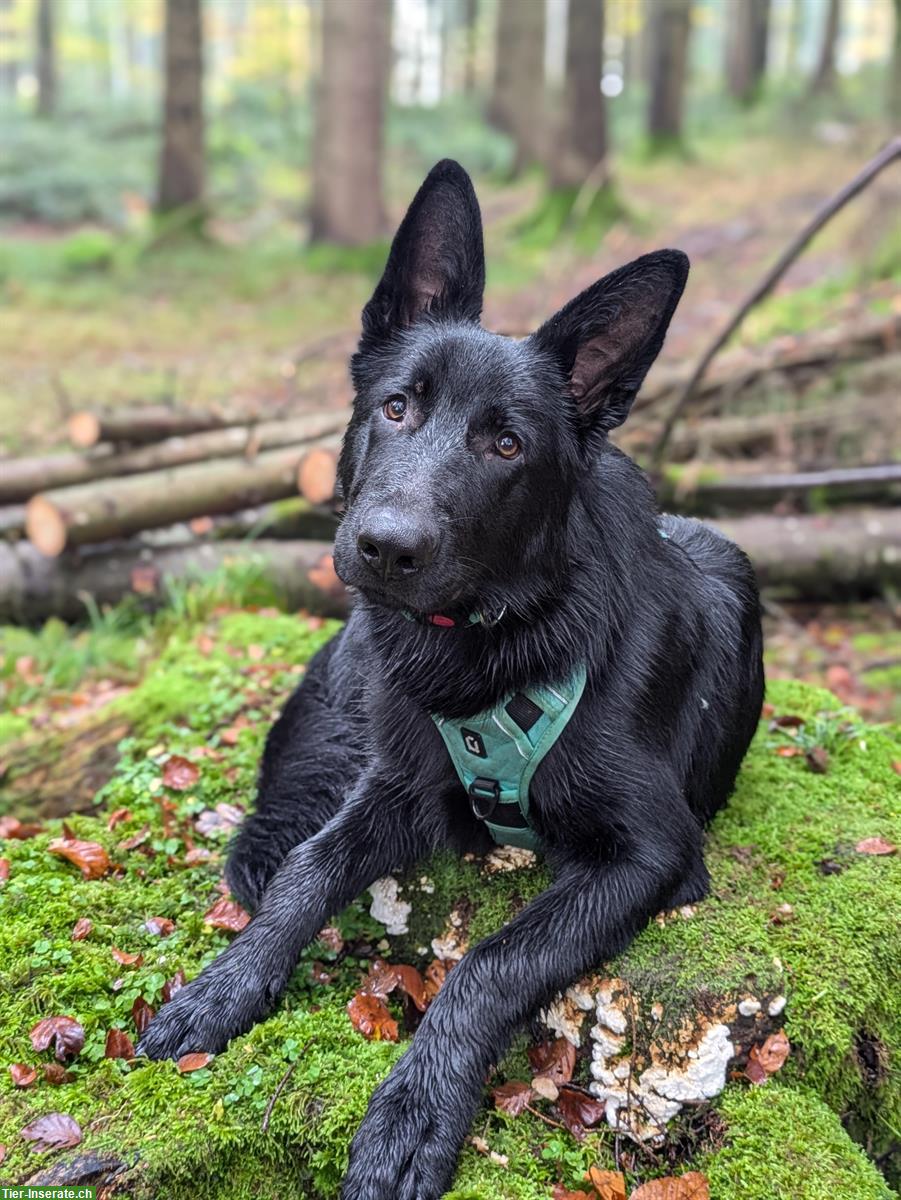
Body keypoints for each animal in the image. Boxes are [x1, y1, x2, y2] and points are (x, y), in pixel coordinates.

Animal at [137, 162, 763, 1200]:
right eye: (397, 406)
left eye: (506, 445)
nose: (385, 549)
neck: (488, 641)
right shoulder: (395, 784)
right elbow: (308, 870)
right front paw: (226, 986)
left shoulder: (651, 852)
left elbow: (494, 963)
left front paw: (414, 1110)